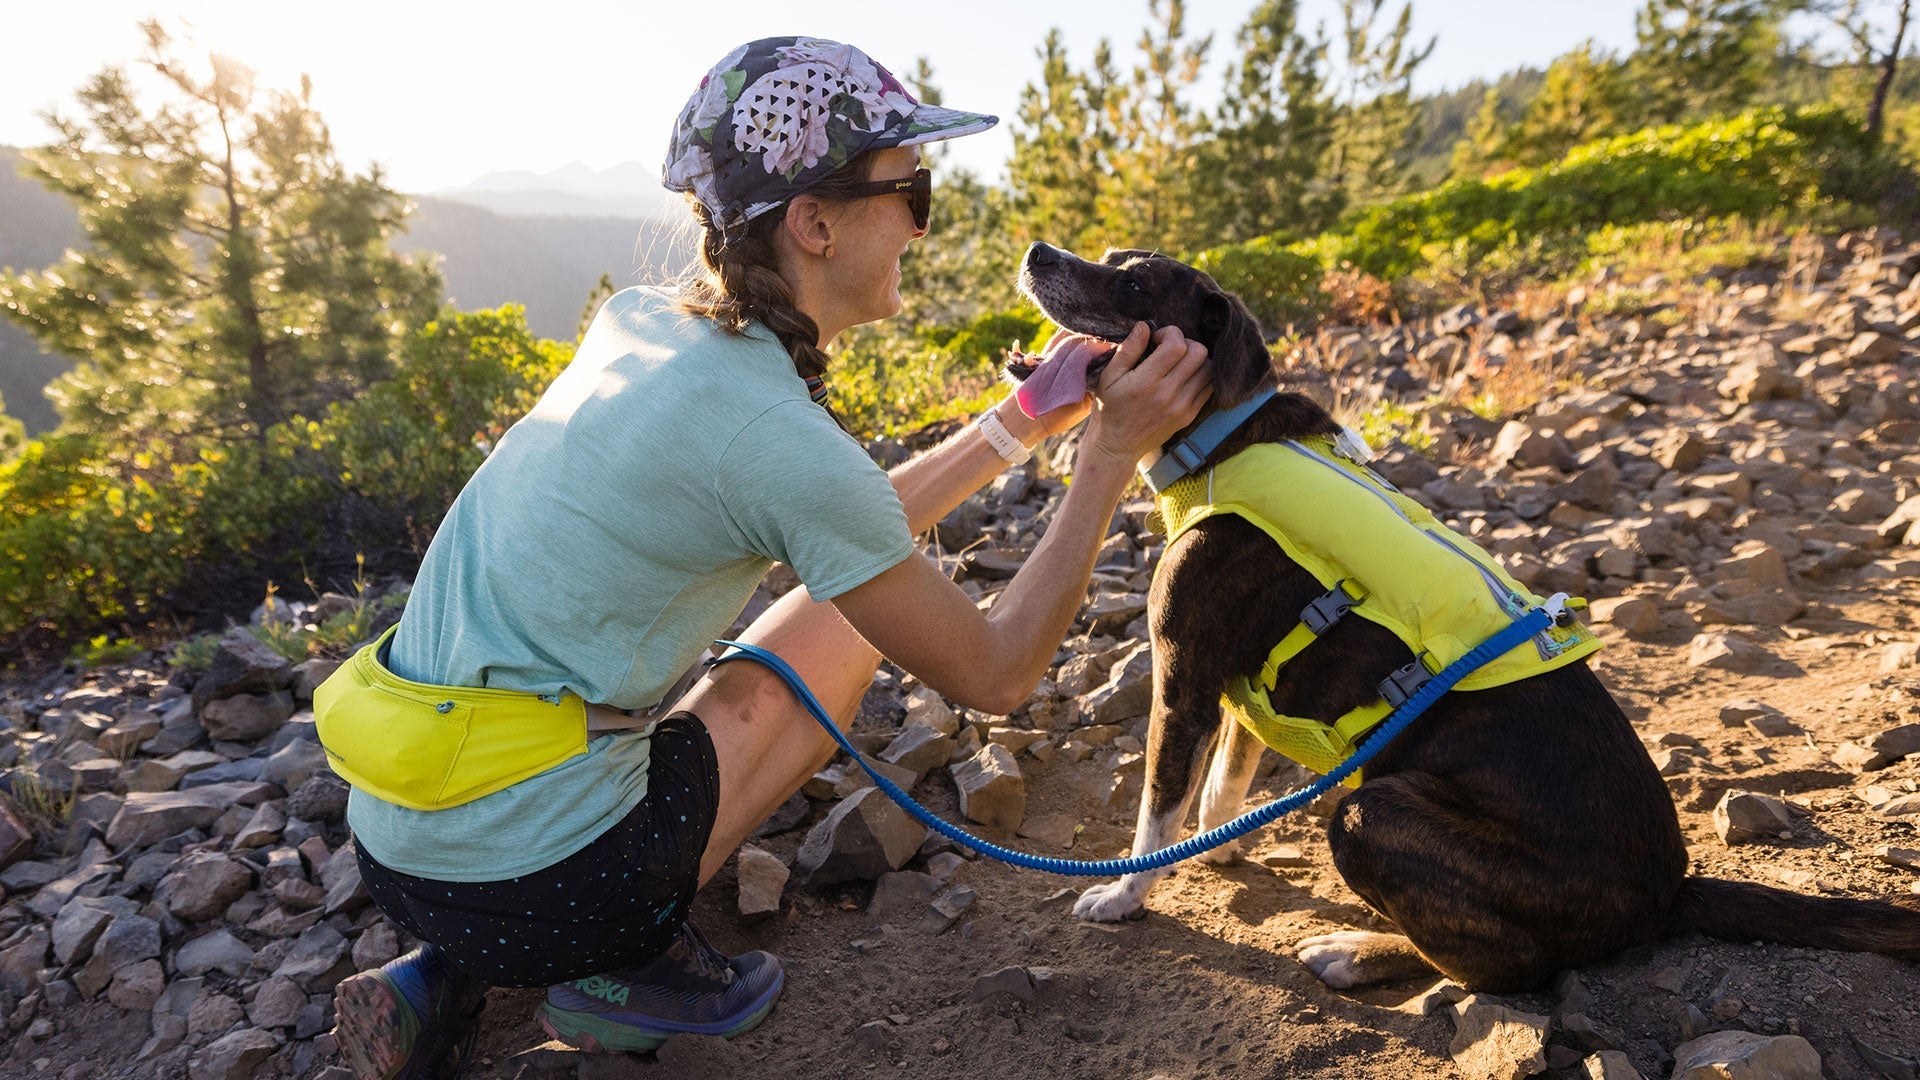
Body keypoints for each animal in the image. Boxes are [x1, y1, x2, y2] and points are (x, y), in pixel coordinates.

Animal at [1006, 242, 1920, 991]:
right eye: (1108, 256)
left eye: (1133, 282)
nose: (1039, 250)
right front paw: (1219, 843)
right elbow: (1223, 781)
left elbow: (1158, 805)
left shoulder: (1184, 674)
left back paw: (1358, 954)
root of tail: (1668, 895)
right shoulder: (1238, 690)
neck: (1222, 438)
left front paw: (1126, 894)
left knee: (1510, 968)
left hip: (1371, 813)